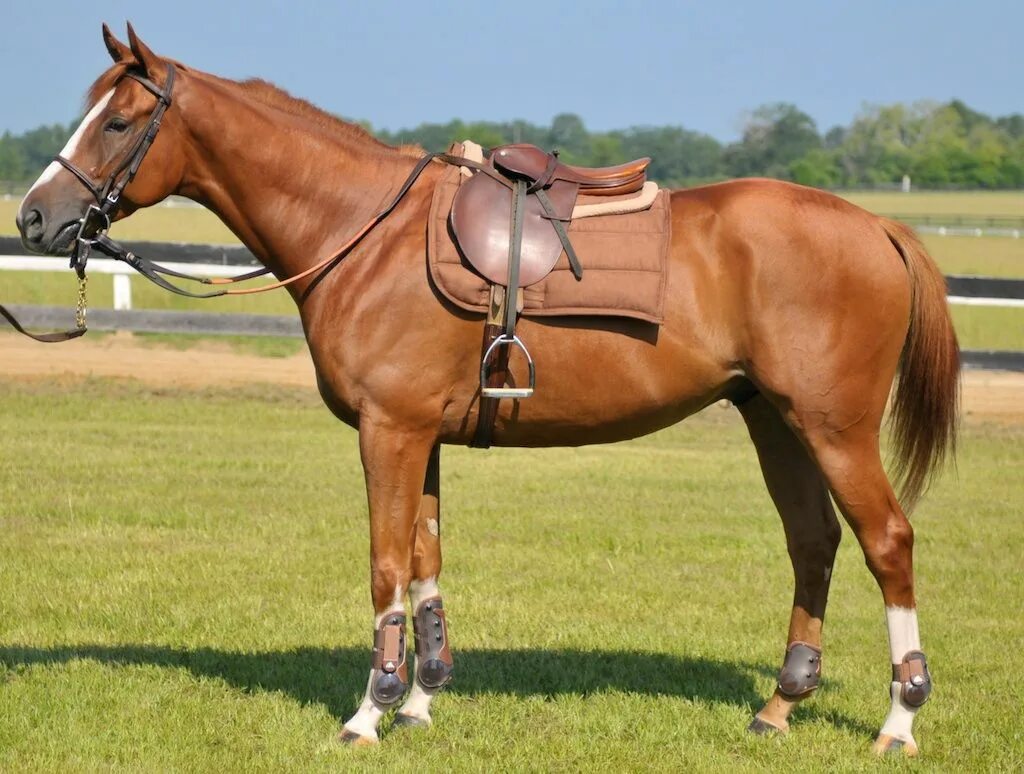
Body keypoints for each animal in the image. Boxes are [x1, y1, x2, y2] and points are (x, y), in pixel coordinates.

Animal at [14, 24, 958, 757]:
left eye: (121, 121)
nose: (32, 218)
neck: (365, 231)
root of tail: (875, 224)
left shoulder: (388, 432)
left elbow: (385, 567)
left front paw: (369, 712)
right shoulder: (419, 435)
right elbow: (426, 565)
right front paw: (422, 699)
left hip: (833, 427)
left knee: (888, 542)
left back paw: (899, 720)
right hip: (774, 419)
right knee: (814, 543)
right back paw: (778, 707)